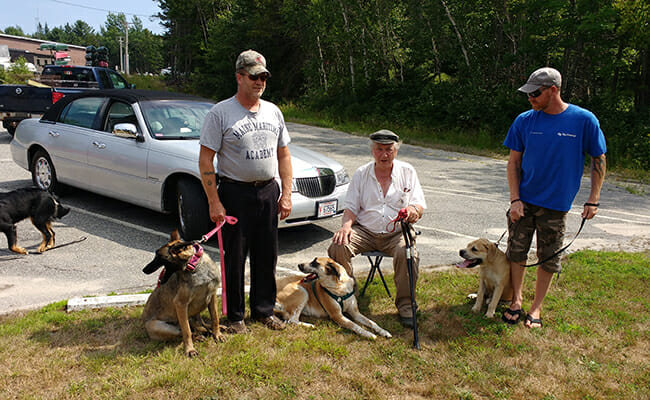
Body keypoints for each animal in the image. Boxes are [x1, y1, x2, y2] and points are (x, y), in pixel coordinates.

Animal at [140, 230, 224, 358]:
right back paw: (198, 336)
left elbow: (215, 318)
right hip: (161, 327)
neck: (195, 267)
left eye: (158, 256)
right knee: (183, 331)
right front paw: (190, 349)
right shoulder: (180, 304)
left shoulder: (212, 296)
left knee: (200, 324)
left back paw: (213, 329)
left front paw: (217, 334)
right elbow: (186, 331)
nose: (144, 269)